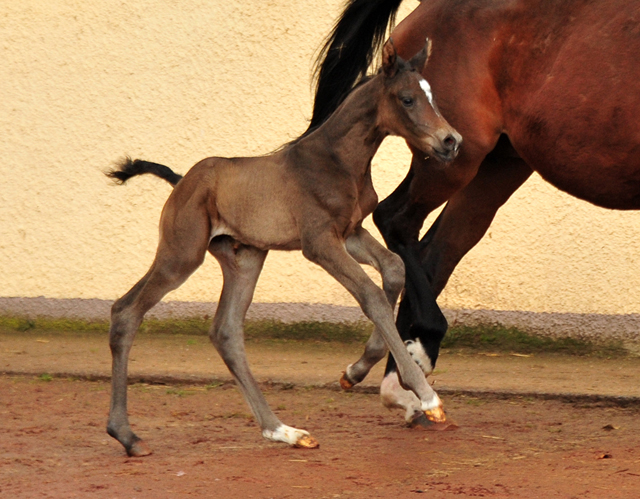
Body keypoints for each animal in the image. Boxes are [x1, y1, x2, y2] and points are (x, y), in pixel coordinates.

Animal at [106, 40, 460, 458]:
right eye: (407, 99)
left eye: (432, 95)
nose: (451, 141)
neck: (338, 161)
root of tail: (181, 182)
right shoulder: (319, 242)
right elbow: (371, 295)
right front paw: (427, 397)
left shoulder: (351, 232)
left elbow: (392, 269)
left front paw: (356, 370)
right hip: (182, 255)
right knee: (127, 312)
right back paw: (127, 436)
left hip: (243, 258)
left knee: (224, 331)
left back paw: (283, 431)